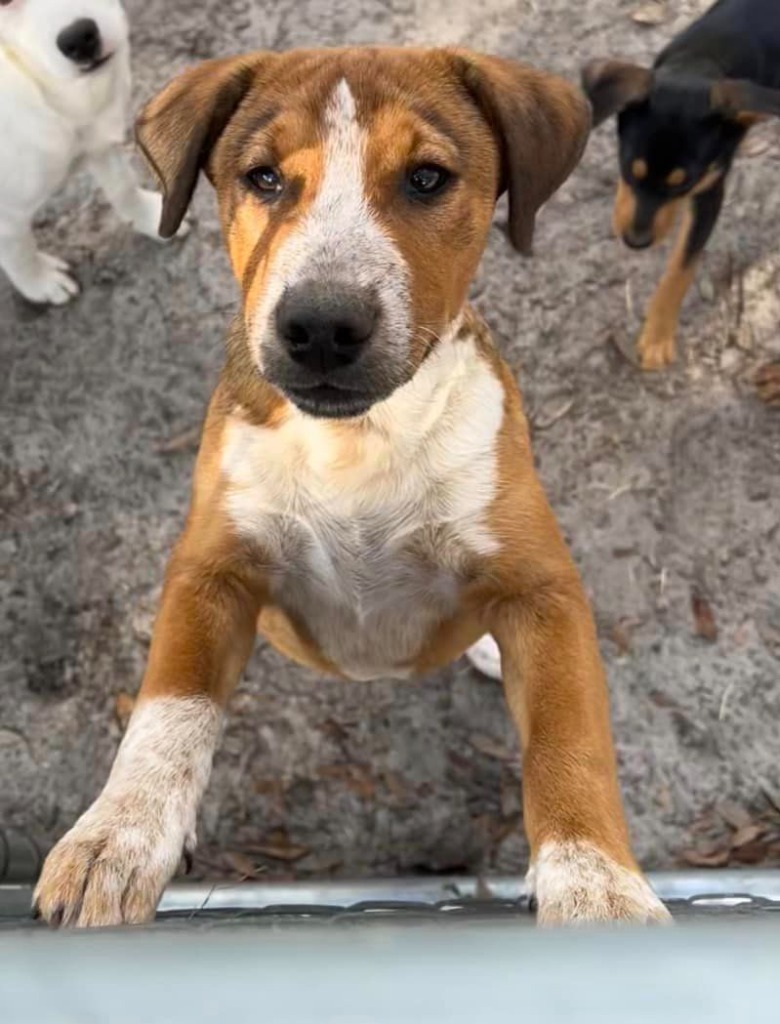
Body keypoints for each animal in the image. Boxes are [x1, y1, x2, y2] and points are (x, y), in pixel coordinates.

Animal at [0, 0, 181, 303]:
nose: (79, 39)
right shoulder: (8, 215)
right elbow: (20, 254)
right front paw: (41, 283)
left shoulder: (100, 142)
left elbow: (123, 187)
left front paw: (149, 218)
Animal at [33, 48, 667, 929]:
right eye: (263, 177)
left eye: (428, 178)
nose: (322, 328)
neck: (358, 441)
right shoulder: (210, 570)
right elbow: (170, 709)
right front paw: (114, 837)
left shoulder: (543, 589)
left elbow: (567, 735)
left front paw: (597, 887)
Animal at [581, 0, 777, 368]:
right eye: (628, 168)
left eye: (683, 186)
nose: (636, 242)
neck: (705, 56)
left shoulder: (710, 188)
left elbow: (681, 267)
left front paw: (657, 337)